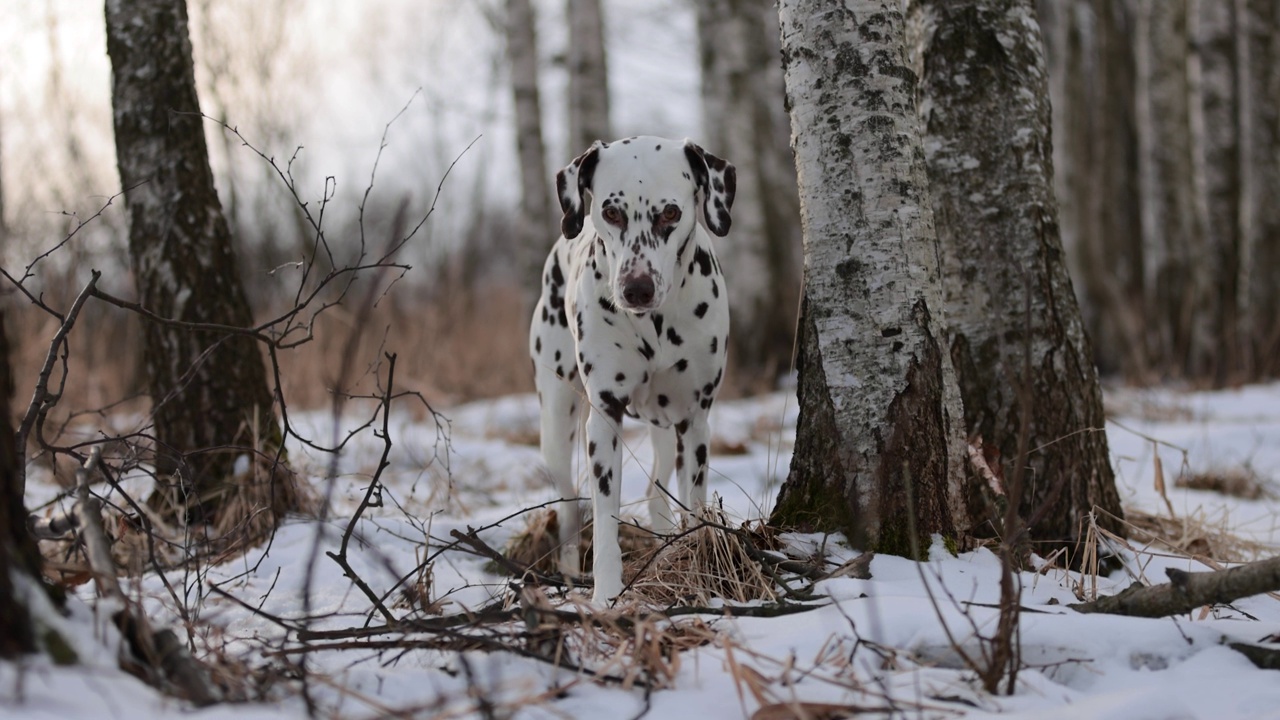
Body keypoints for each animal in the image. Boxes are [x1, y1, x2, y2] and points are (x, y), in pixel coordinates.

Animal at [524, 134, 737, 599]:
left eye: (671, 212)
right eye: (611, 212)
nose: (636, 289)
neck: (654, 326)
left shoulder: (694, 422)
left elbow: (694, 508)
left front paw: (695, 566)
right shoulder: (605, 418)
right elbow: (605, 520)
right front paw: (606, 594)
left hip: (667, 430)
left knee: (657, 491)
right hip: (556, 423)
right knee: (570, 509)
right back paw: (571, 571)